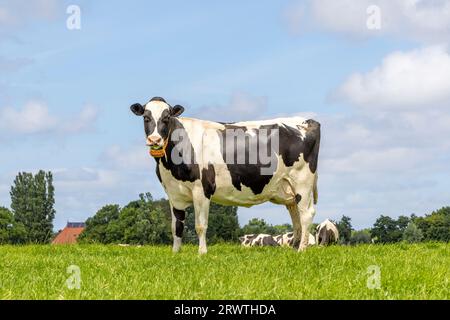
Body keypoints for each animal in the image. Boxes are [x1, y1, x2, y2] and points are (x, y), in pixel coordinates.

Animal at [130, 96, 320, 254]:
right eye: (146, 118)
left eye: (166, 117)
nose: (154, 140)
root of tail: (305, 120)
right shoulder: (173, 192)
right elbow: (176, 226)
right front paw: (175, 253)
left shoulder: (202, 189)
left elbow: (200, 225)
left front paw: (202, 253)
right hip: (288, 187)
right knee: (295, 214)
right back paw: (294, 248)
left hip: (302, 182)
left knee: (306, 214)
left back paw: (301, 250)